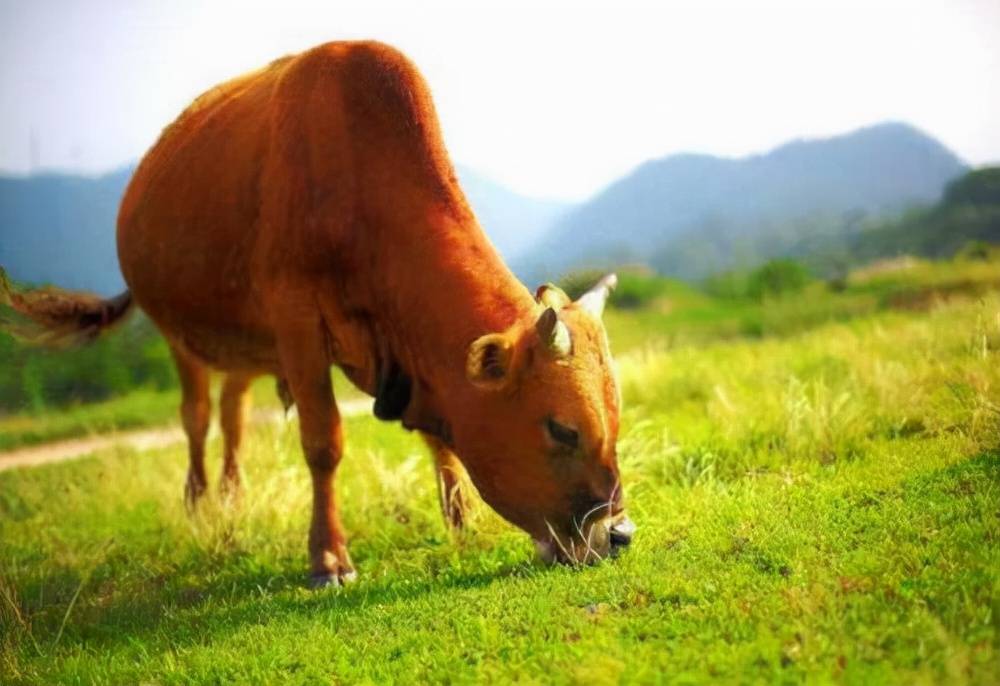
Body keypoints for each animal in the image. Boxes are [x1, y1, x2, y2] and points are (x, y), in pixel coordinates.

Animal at [1, 40, 632, 588]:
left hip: (245, 343)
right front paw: (328, 559)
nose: (619, 534)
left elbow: (441, 439)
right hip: (179, 335)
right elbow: (323, 441)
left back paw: (232, 497)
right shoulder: (297, 320)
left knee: (232, 415)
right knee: (197, 417)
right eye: (562, 429)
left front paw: (460, 521)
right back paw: (201, 503)